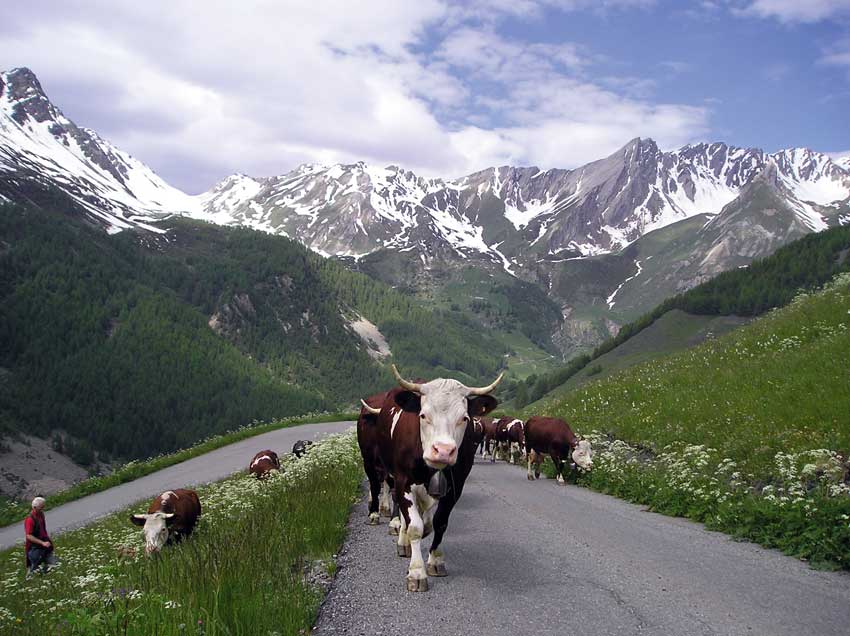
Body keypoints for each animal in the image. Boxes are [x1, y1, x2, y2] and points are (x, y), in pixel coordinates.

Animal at [374, 366, 500, 592]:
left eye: (464, 418)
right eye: (423, 415)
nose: (443, 451)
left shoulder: (456, 486)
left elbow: (439, 522)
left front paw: (435, 560)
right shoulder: (403, 481)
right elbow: (415, 526)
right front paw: (416, 572)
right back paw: (403, 541)